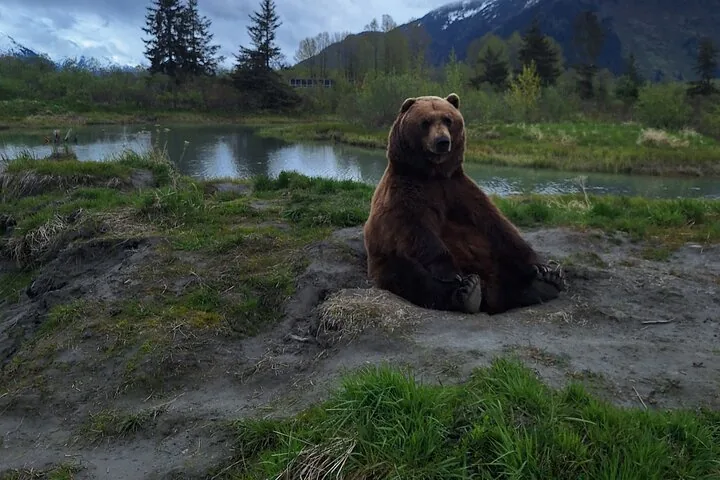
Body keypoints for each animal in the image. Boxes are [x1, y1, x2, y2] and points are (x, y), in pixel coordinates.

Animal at [362, 93, 566, 315]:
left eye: (448, 120)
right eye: (425, 122)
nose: (442, 141)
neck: (433, 174)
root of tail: (490, 292)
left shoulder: (459, 190)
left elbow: (498, 226)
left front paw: (543, 267)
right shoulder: (406, 192)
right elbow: (417, 230)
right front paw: (450, 271)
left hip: (491, 260)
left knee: (505, 264)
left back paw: (544, 283)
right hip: (386, 262)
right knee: (411, 276)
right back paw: (467, 292)